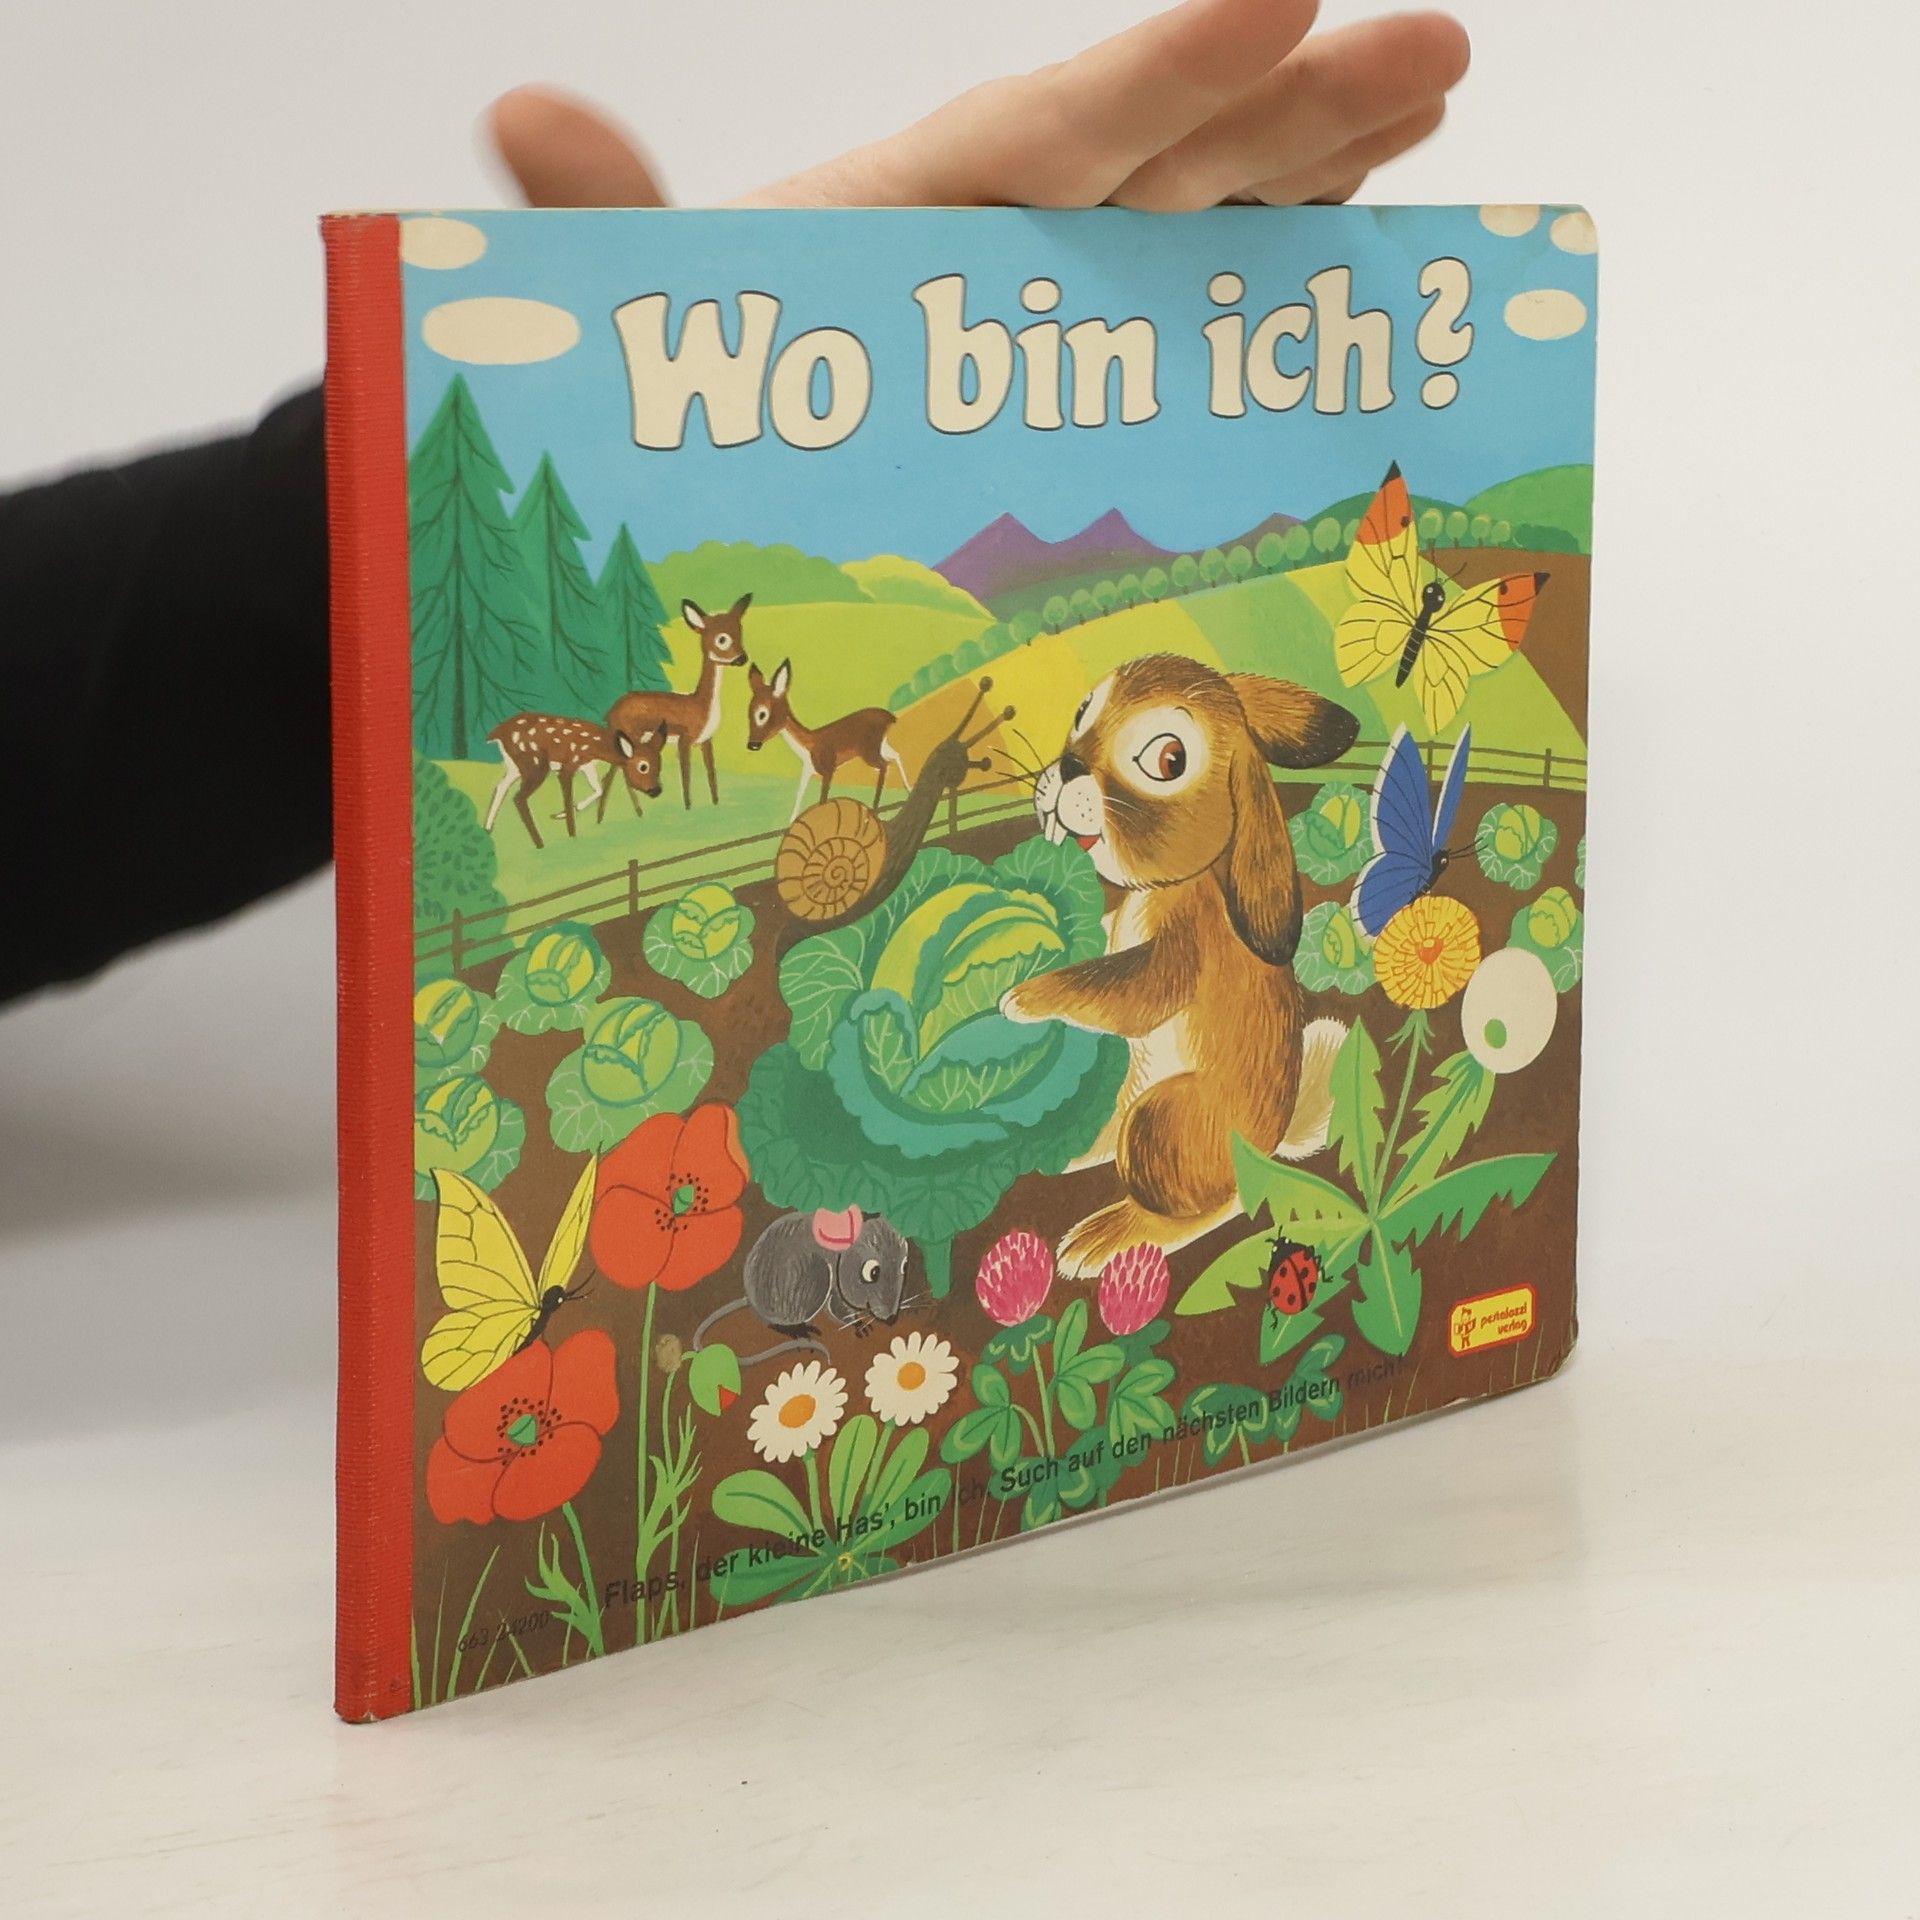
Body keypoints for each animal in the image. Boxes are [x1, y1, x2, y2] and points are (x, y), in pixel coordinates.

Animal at [1001, 654, 1359, 1278]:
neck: (1177, 883)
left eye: (1169, 761)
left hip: (1163, 1122)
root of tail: (1267, 1147)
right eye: (1082, 711)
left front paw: (1022, 999)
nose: (1068, 768)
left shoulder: (1180, 954)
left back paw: (1102, 1240)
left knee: (1210, 1208)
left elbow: (1123, 990)